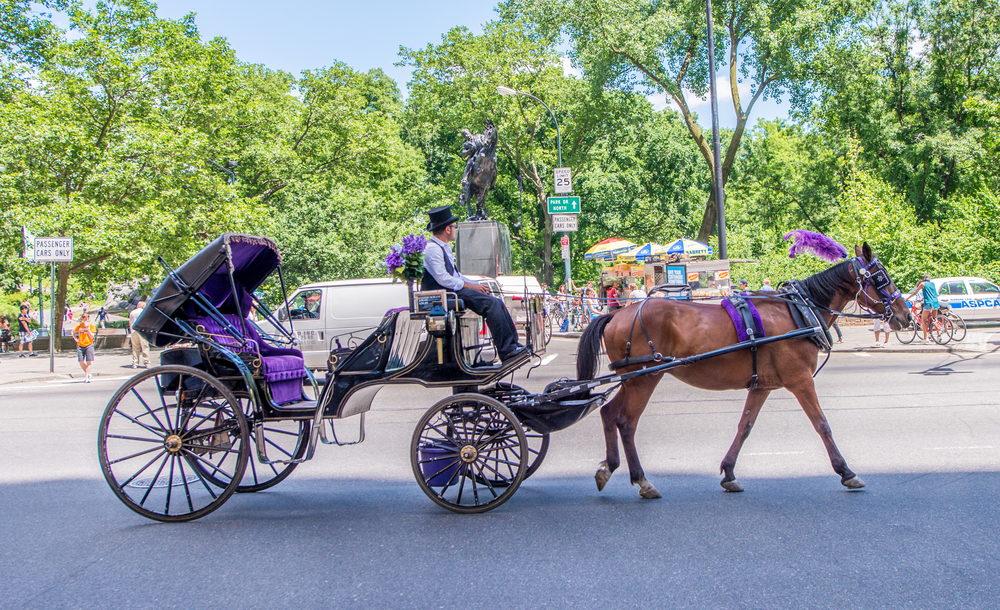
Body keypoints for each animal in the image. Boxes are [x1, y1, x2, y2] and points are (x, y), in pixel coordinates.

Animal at [576, 242, 912, 498]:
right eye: (881, 277)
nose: (906, 315)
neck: (798, 311)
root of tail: (618, 314)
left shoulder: (762, 385)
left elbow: (745, 426)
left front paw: (728, 472)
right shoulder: (801, 380)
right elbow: (822, 425)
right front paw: (845, 471)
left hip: (633, 379)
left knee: (609, 414)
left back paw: (609, 467)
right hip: (645, 377)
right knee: (626, 422)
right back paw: (641, 479)